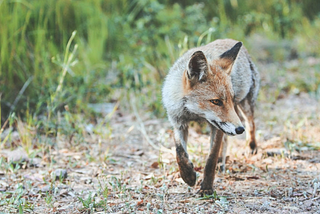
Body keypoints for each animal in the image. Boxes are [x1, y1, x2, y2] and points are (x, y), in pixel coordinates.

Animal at [162, 37, 260, 195]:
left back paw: (251, 147)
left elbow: (210, 159)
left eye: (230, 99)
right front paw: (188, 175)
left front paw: (207, 187)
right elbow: (179, 153)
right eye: (216, 101)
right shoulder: (178, 122)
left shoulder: (218, 127)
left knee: (251, 124)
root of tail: (230, 39)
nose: (239, 130)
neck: (194, 113)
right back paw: (222, 163)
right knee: (227, 140)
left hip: (244, 106)